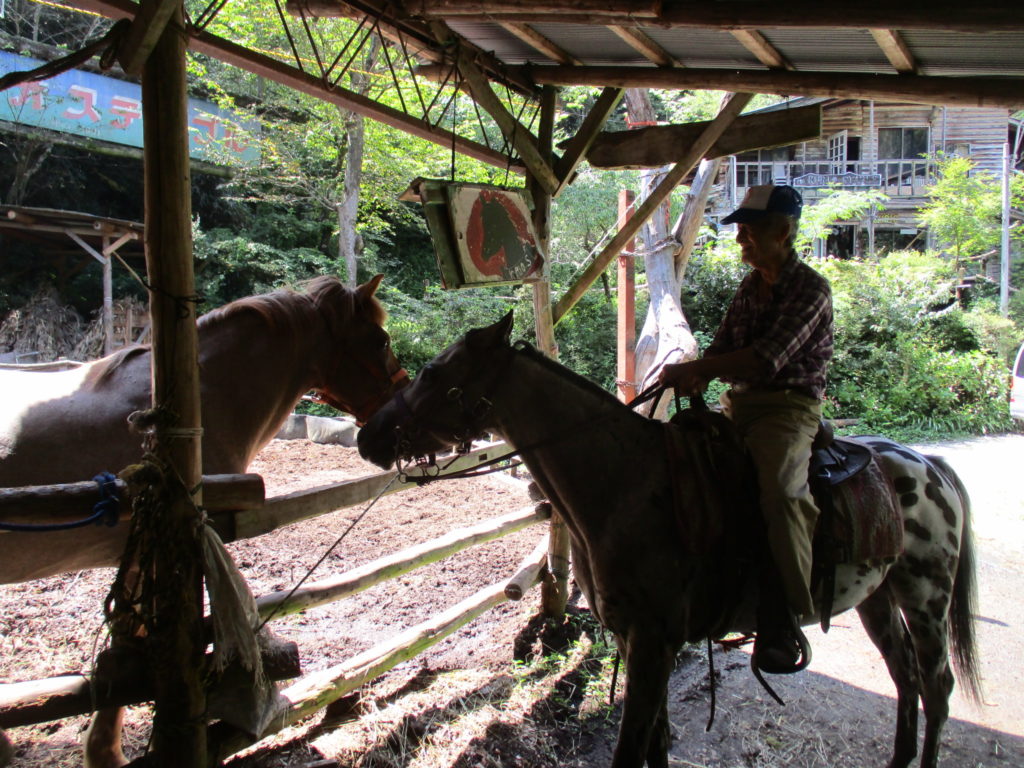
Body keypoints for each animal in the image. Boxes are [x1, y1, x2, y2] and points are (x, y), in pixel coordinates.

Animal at [0, 274, 407, 768]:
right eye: (381, 340)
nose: (399, 412)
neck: (204, 397)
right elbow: (126, 640)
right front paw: (106, 753)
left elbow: (124, 641)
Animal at [357, 312, 980, 768]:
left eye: (434, 372)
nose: (368, 436)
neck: (625, 482)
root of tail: (930, 466)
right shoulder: (633, 637)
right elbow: (654, 745)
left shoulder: (654, 641)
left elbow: (633, 750)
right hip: (879, 596)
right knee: (905, 678)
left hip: (926, 597)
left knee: (936, 685)